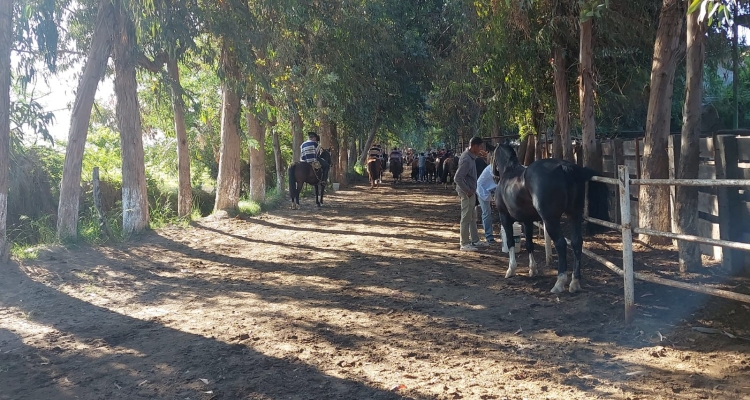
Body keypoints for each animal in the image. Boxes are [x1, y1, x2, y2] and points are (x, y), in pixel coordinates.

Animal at [494, 142, 612, 292]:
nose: (493, 175)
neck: (509, 173)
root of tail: (564, 167)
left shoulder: (504, 217)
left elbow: (510, 242)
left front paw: (511, 270)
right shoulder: (527, 221)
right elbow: (529, 244)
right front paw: (533, 270)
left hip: (550, 220)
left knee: (561, 244)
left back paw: (559, 283)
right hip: (574, 215)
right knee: (576, 242)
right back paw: (574, 283)